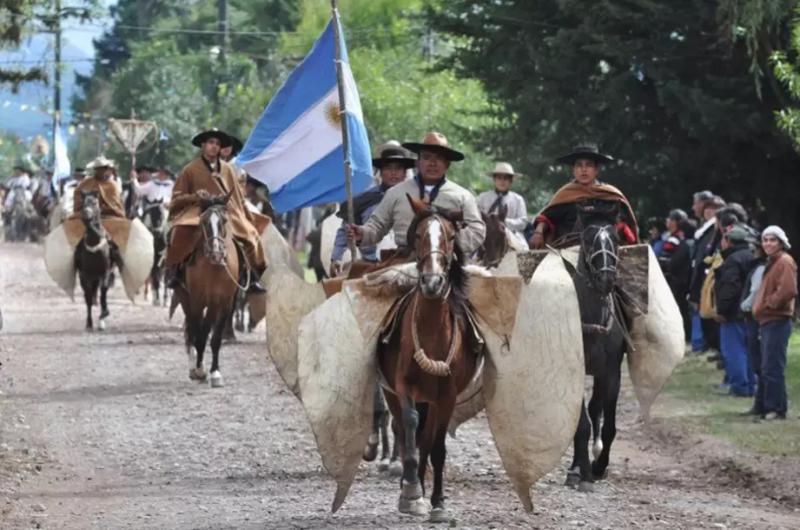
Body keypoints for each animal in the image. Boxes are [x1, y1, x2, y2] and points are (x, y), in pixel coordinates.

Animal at [175, 192, 238, 386]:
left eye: (224, 221)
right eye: (204, 222)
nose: (216, 253)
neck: (214, 268)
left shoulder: (224, 303)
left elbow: (215, 338)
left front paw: (215, 373)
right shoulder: (197, 299)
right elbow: (199, 335)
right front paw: (199, 370)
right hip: (185, 297)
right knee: (191, 330)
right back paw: (194, 366)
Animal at [378, 195, 478, 520]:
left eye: (450, 237)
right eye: (420, 235)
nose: (432, 283)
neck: (433, 332)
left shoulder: (447, 395)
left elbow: (437, 446)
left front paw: (438, 502)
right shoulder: (403, 385)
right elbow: (409, 426)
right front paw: (410, 491)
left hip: (433, 399)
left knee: (427, 438)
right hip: (393, 392)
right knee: (404, 428)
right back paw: (411, 487)